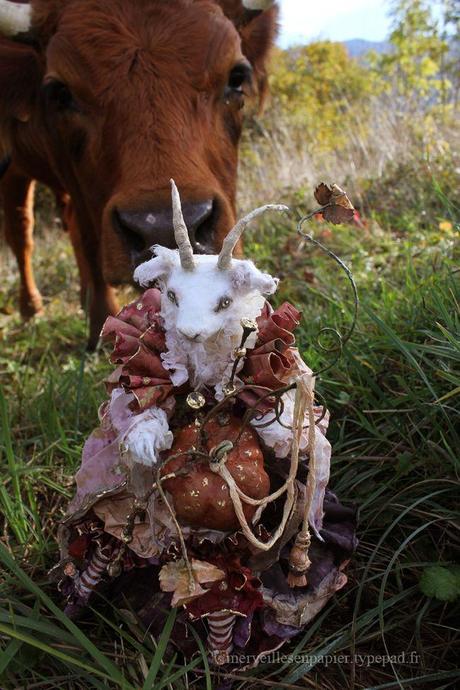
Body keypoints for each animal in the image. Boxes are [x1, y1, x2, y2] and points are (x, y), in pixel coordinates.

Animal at [0, 0, 278, 348]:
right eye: (60, 92)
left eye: (236, 77)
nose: (161, 229)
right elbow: (85, 238)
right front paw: (100, 326)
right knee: (22, 230)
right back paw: (31, 308)